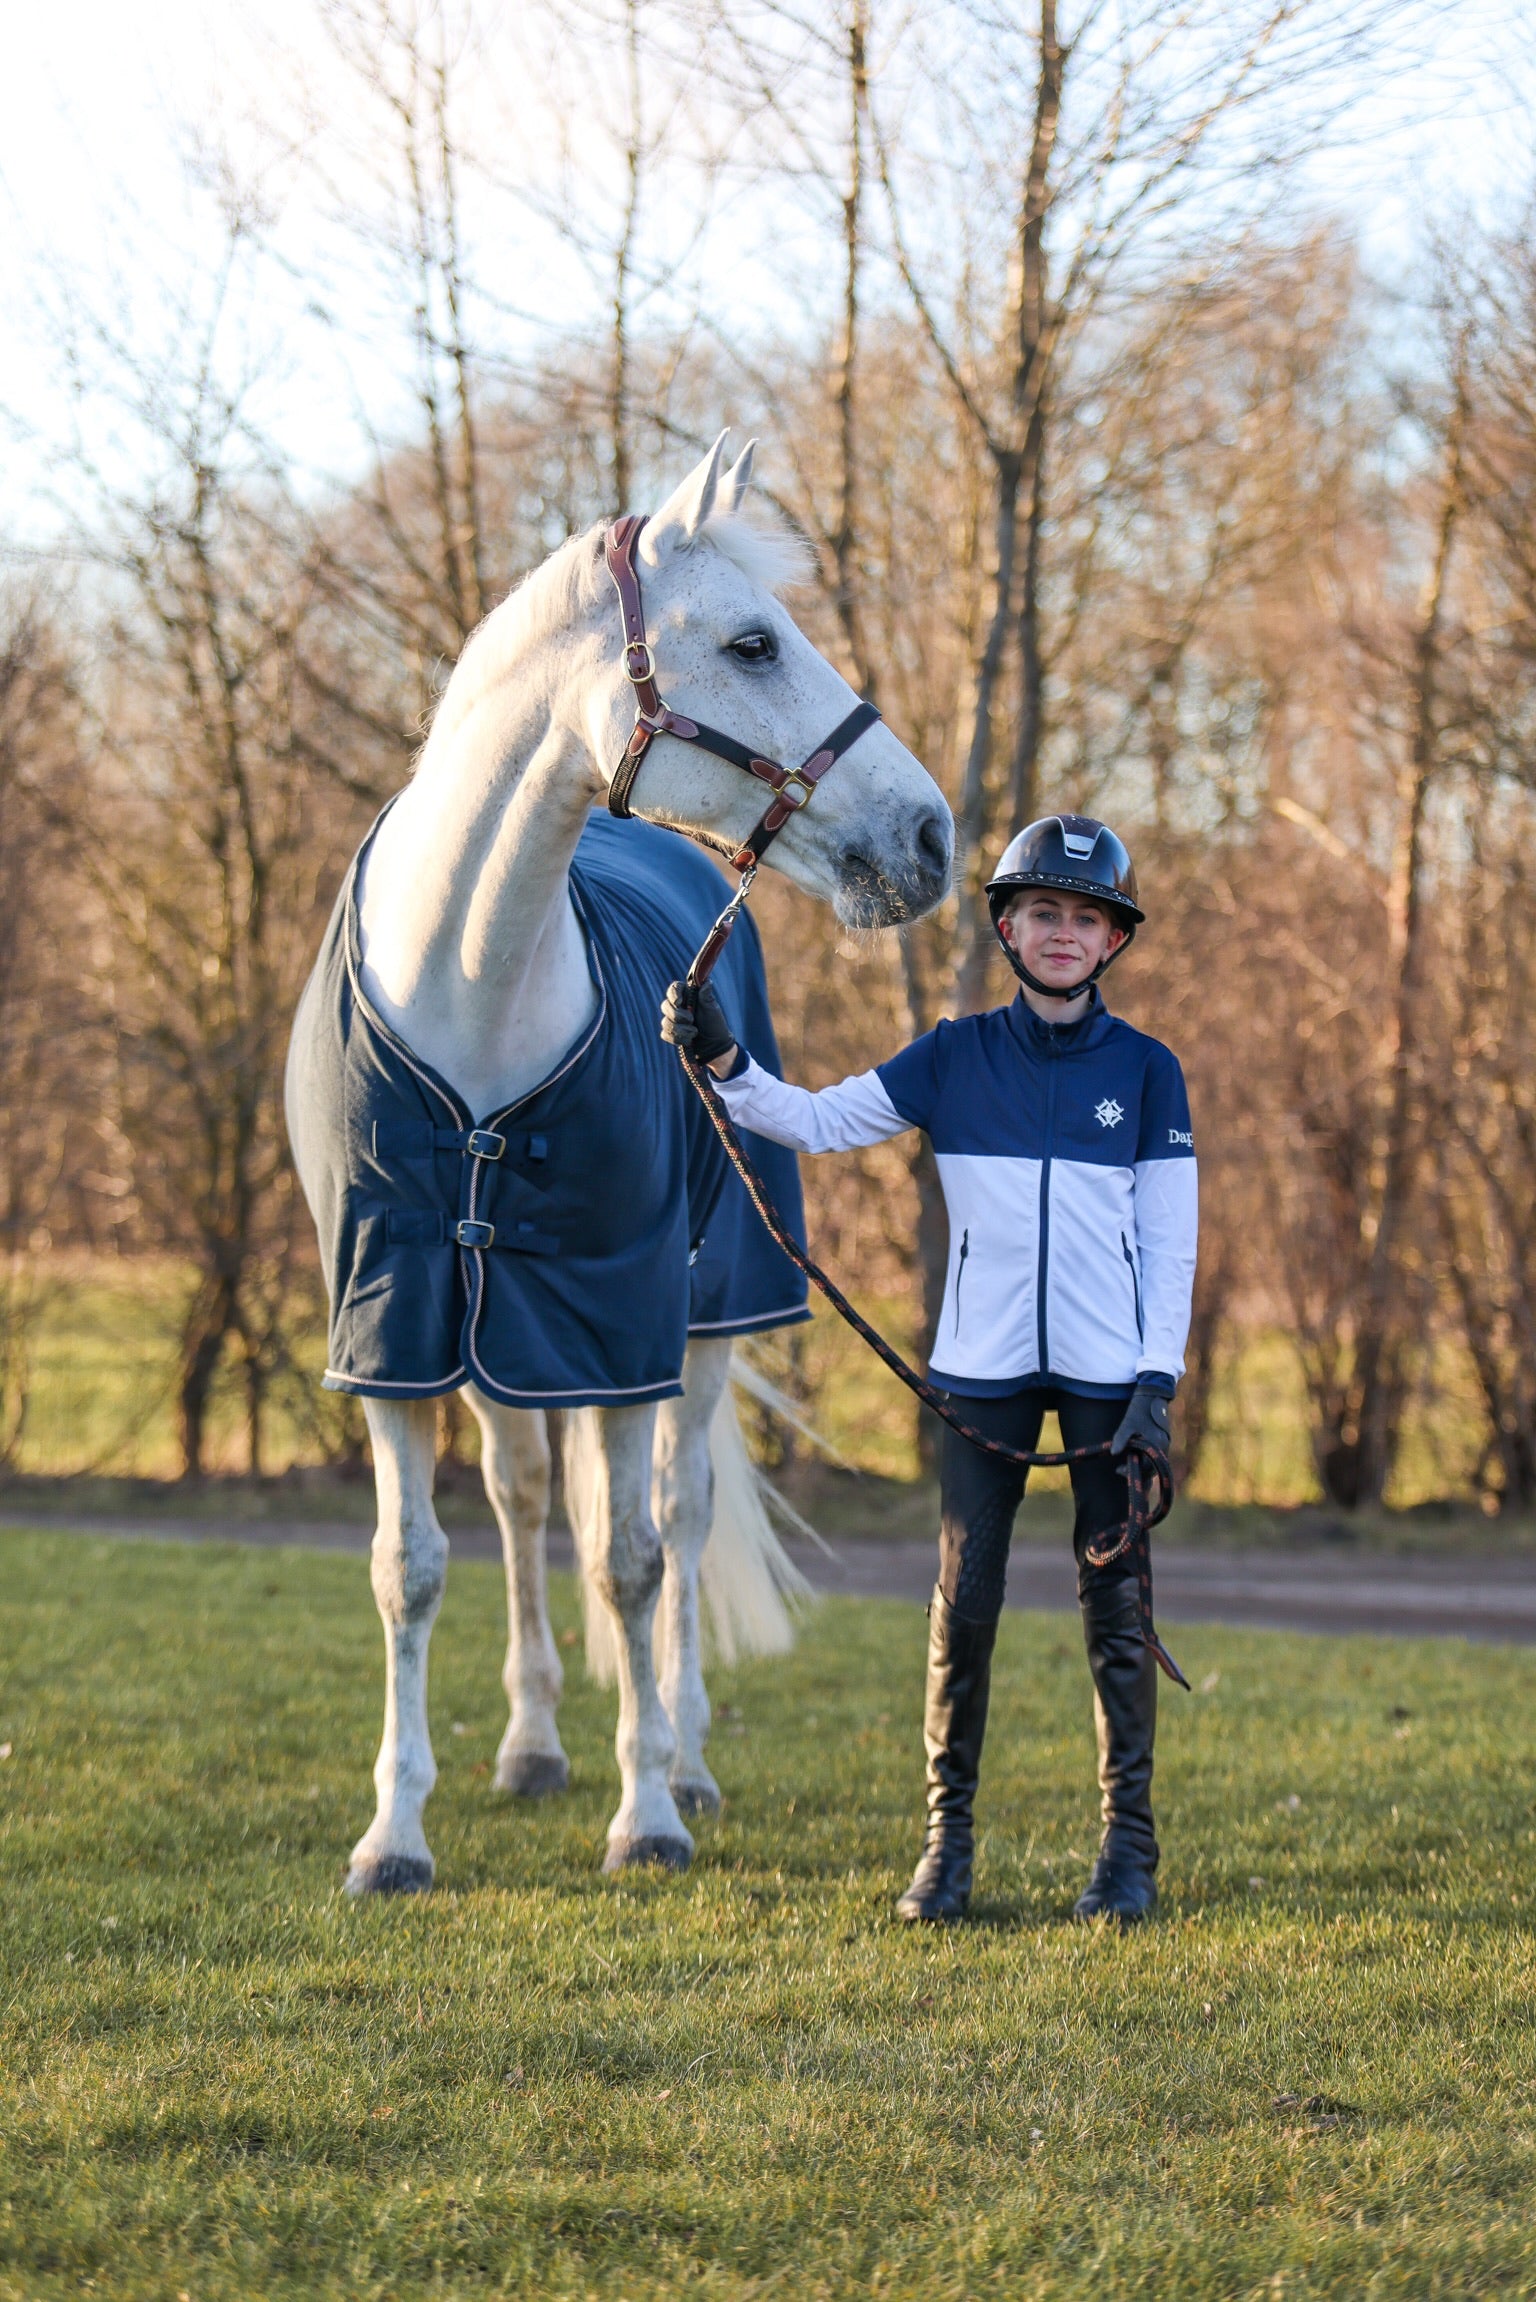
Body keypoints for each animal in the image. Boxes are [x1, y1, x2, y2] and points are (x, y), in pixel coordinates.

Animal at [286, 434, 952, 1889]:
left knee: (677, 1517)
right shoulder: (393, 1327)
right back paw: (533, 1747)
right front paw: (393, 1834)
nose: (931, 837)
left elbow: (638, 1562)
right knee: (530, 1505)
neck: (469, 986)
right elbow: (411, 1565)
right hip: (509, 1347)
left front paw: (646, 1813)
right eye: (754, 642)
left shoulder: (622, 1316)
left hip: (699, 1322)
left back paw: (687, 1757)